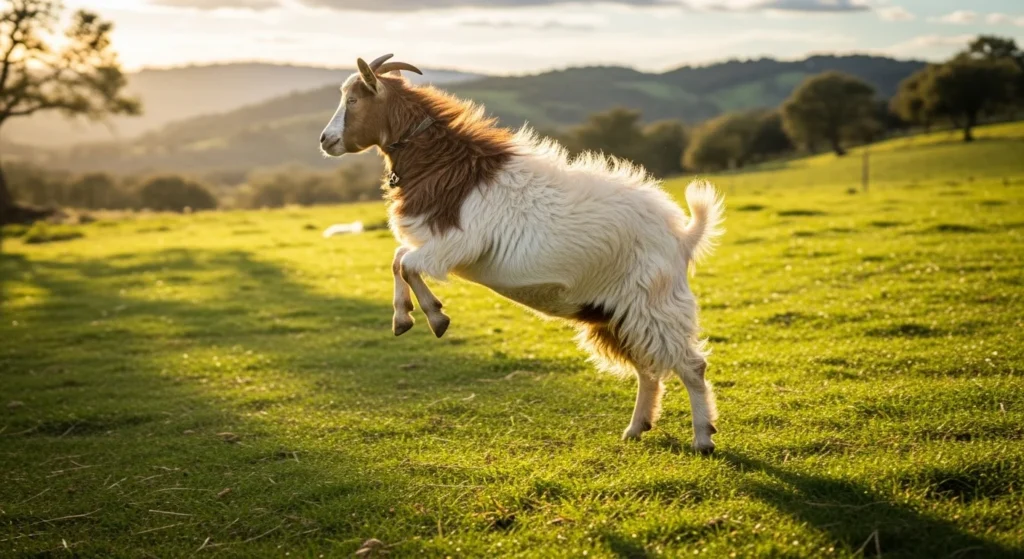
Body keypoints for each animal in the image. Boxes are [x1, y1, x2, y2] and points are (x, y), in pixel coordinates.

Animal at [319, 54, 725, 453]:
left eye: (353, 99)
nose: (325, 140)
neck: (448, 166)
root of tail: (682, 236)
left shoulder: (457, 245)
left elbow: (405, 263)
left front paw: (434, 317)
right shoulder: (437, 243)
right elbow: (398, 259)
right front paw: (403, 318)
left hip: (653, 304)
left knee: (691, 366)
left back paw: (702, 437)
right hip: (614, 314)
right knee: (649, 369)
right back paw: (637, 428)